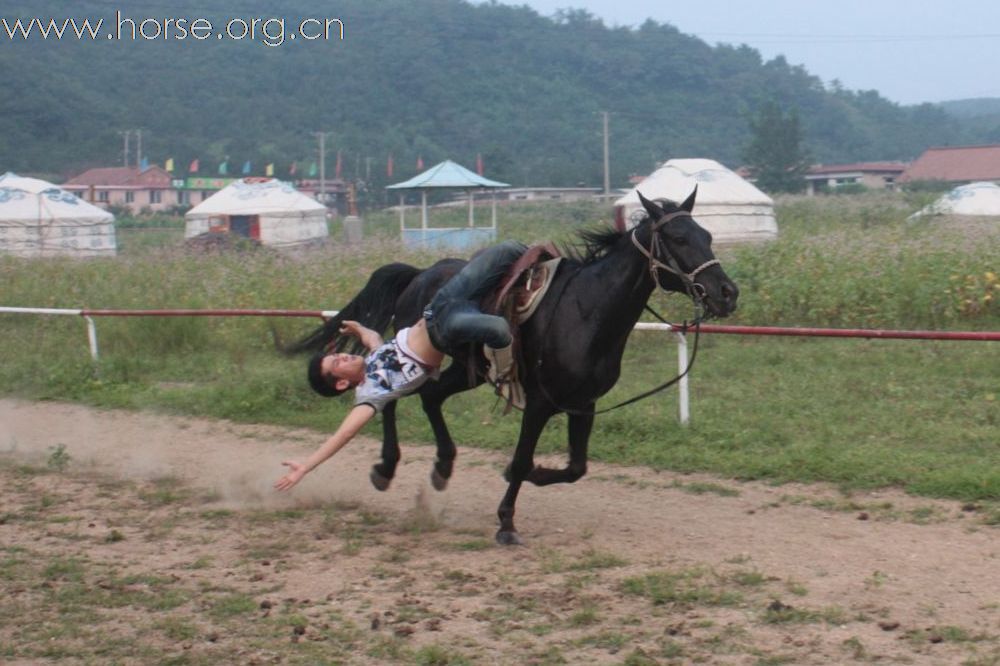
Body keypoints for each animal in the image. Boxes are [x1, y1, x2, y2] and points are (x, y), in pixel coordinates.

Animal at [292, 189, 740, 544]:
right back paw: (387, 467)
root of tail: (422, 275)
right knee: (395, 399)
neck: (586, 311)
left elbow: (575, 468)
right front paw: (506, 521)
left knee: (431, 396)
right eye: (679, 238)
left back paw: (443, 464)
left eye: (707, 235)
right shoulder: (541, 403)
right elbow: (525, 458)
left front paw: (524, 477)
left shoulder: (583, 405)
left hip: (466, 369)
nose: (726, 292)